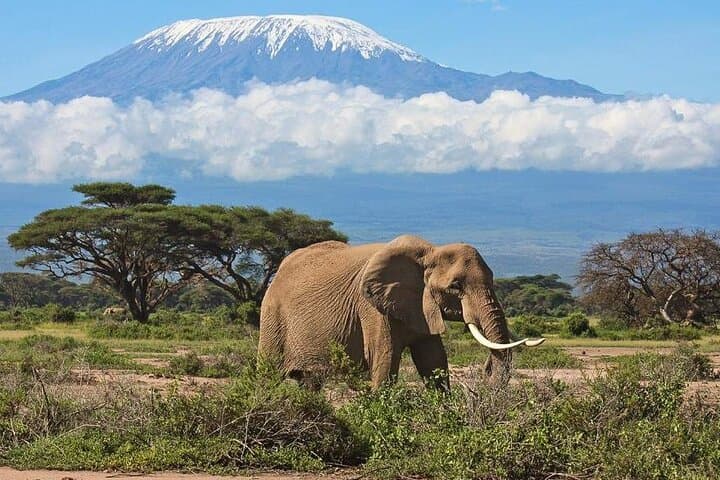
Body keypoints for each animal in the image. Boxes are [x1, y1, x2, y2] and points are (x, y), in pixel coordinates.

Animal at [258, 235, 544, 390]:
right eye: (456, 286)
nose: (485, 370)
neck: (429, 252)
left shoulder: (421, 306)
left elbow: (434, 362)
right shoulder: (371, 308)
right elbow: (384, 362)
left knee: (310, 383)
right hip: (272, 316)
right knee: (268, 374)